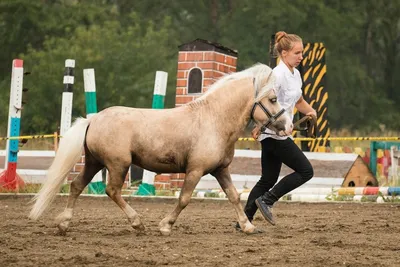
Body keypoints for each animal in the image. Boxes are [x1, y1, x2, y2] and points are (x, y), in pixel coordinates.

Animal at [28, 62, 290, 234]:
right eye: (273, 99)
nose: (287, 126)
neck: (214, 120)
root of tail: (94, 119)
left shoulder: (220, 170)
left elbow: (234, 196)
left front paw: (247, 226)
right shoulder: (195, 171)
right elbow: (184, 199)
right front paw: (165, 226)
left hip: (94, 162)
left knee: (76, 186)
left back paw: (64, 224)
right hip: (118, 164)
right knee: (112, 191)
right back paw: (137, 223)